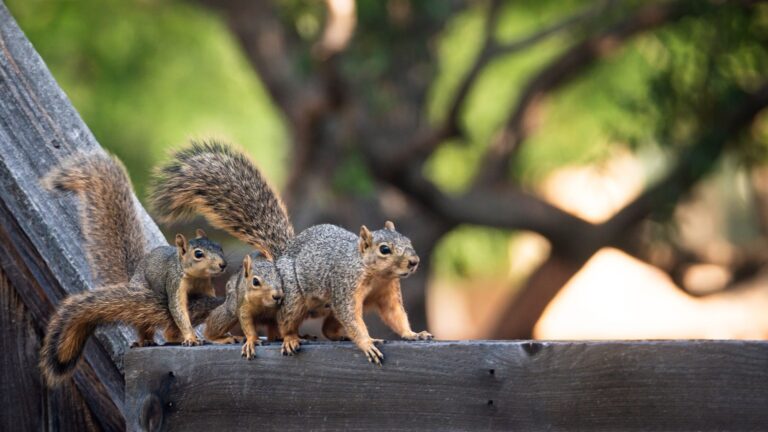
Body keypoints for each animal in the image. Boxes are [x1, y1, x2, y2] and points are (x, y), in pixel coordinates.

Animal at [39, 153, 228, 386]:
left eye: (219, 247)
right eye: (198, 254)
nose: (222, 264)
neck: (196, 277)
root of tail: (133, 277)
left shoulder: (206, 287)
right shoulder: (175, 283)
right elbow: (178, 310)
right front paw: (191, 337)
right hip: (142, 296)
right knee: (148, 325)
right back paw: (145, 340)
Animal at [150, 141, 432, 365]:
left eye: (408, 240)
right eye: (384, 249)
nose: (414, 261)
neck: (375, 274)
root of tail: (283, 253)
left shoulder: (388, 293)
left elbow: (396, 316)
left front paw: (413, 334)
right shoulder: (344, 288)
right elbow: (353, 319)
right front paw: (367, 343)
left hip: (323, 307)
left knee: (327, 327)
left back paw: (331, 334)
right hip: (293, 298)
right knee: (286, 322)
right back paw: (290, 338)